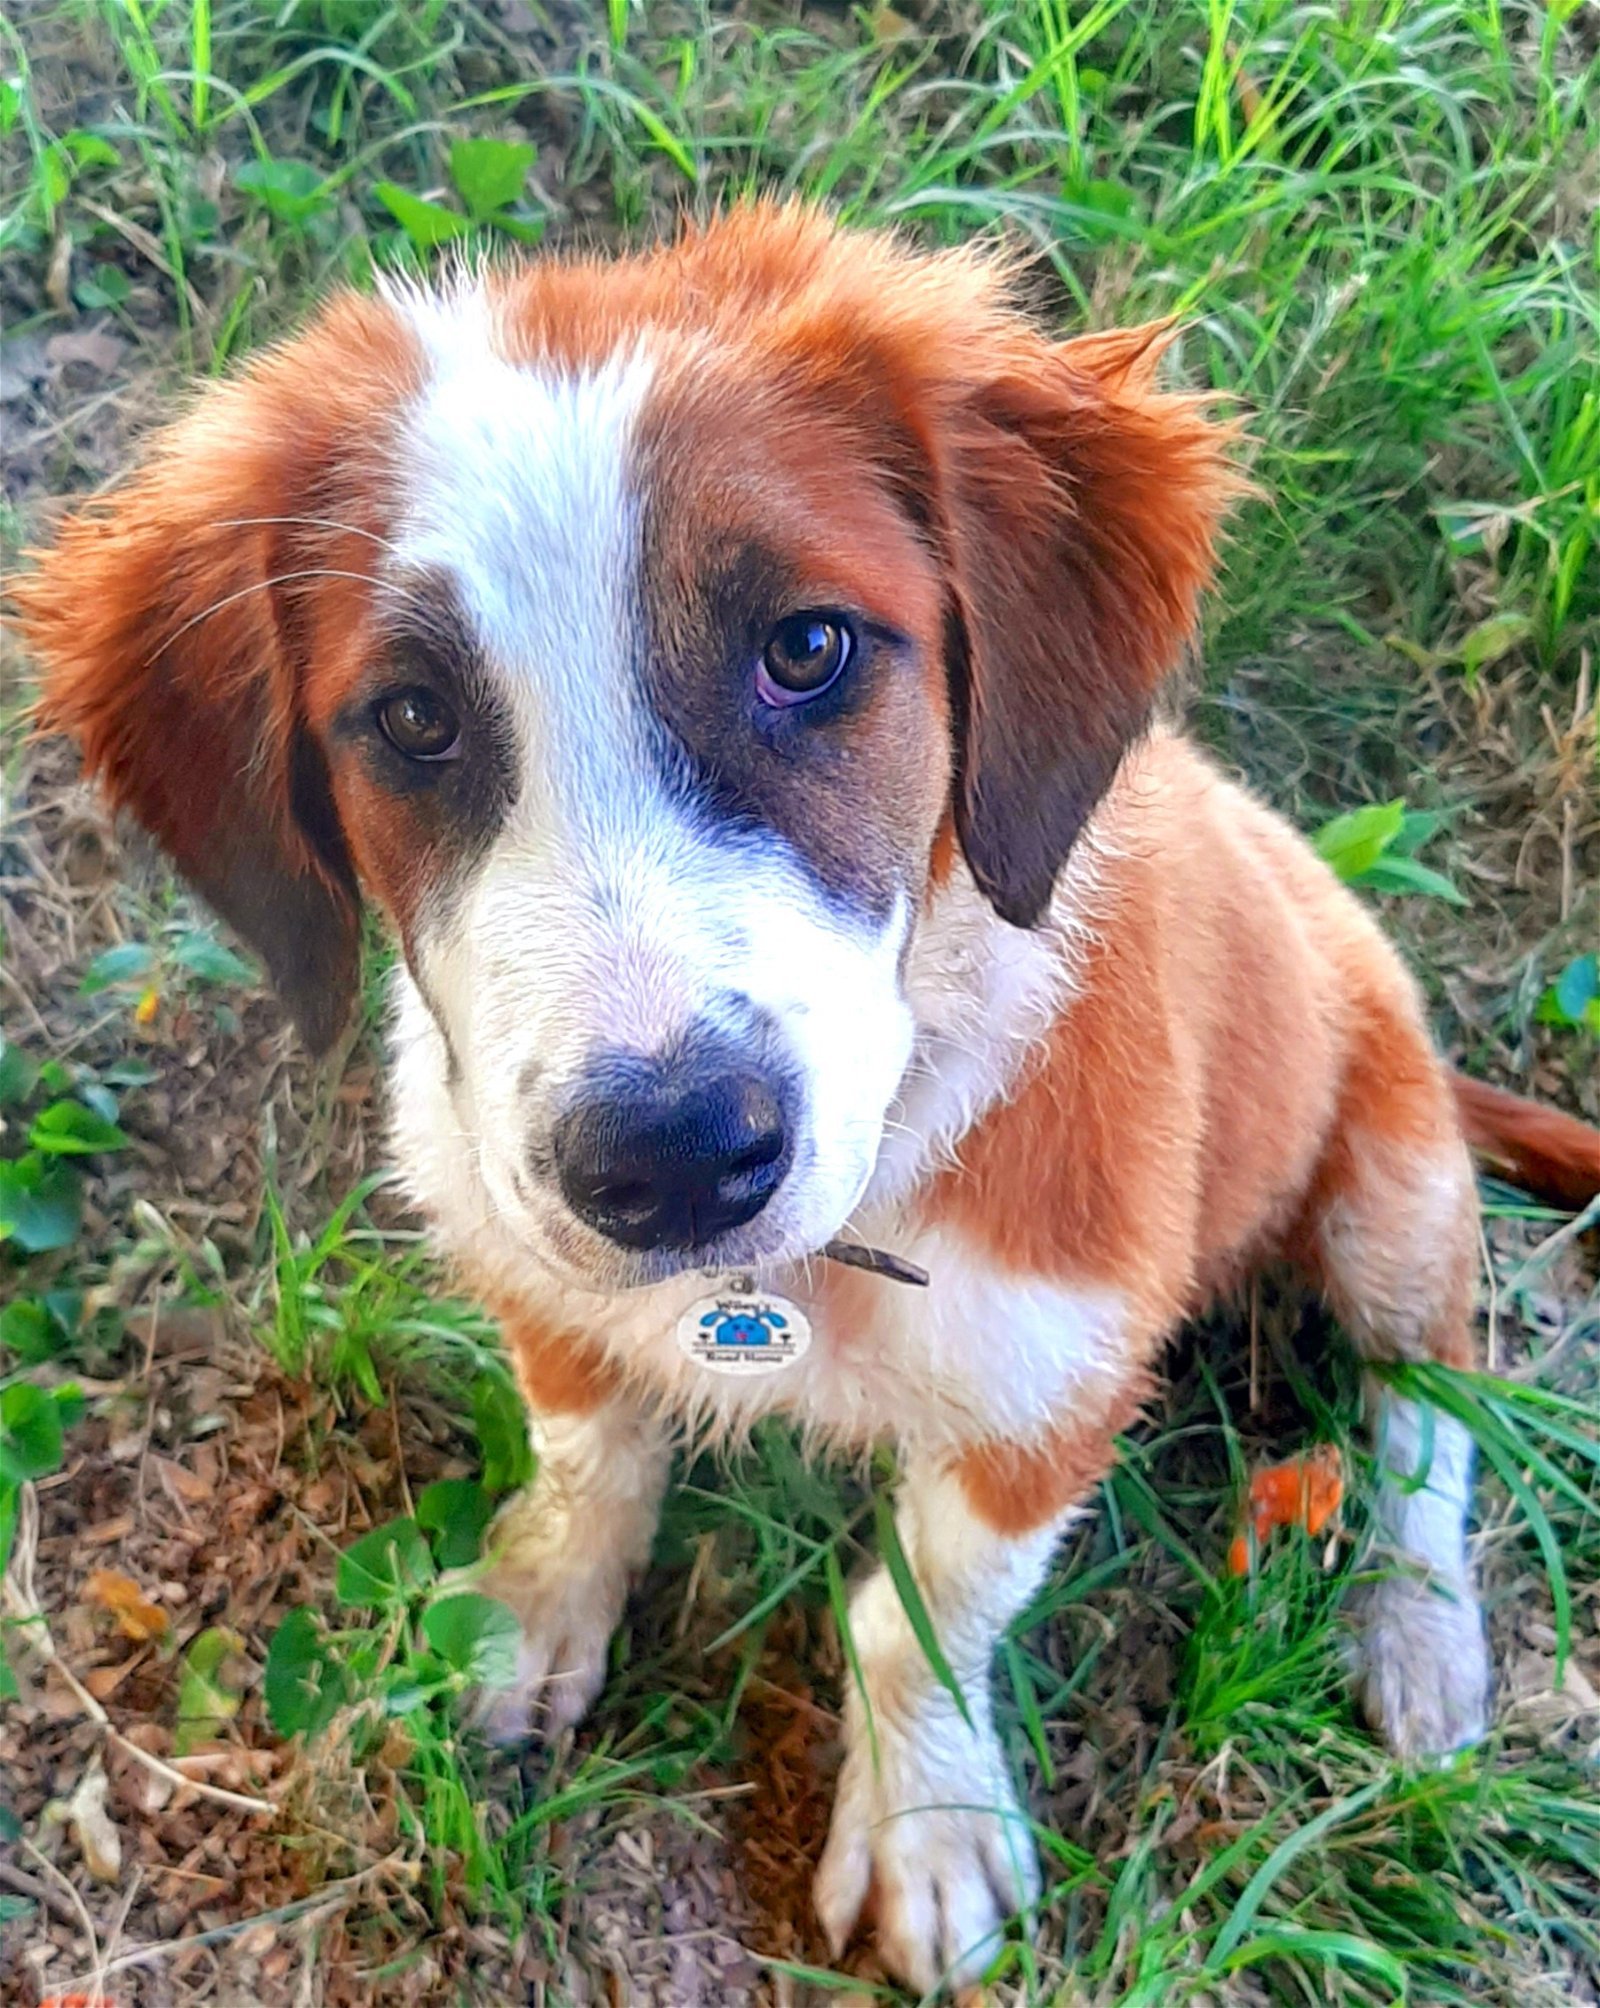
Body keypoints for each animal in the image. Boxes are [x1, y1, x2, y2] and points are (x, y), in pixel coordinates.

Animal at [15, 203, 1597, 1991]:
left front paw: (929, 1824)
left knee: (1436, 1400)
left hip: (1392, 1182)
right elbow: (588, 1456)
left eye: (810, 648)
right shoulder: (528, 1252)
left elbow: (921, 1615)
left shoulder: (1049, 1390)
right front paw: (538, 1608)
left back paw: (1417, 1629)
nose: (671, 1161)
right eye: (411, 718)